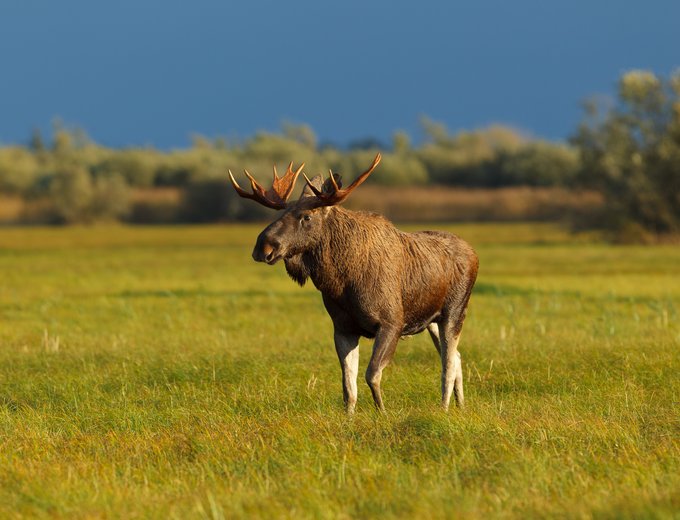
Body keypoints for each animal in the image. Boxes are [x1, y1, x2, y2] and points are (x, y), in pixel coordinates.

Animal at [231, 152, 480, 412]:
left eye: (306, 216)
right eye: (280, 214)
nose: (263, 247)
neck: (341, 281)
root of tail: (473, 253)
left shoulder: (391, 322)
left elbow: (372, 374)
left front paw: (382, 412)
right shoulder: (343, 328)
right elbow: (348, 386)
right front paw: (350, 416)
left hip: (454, 311)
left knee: (448, 363)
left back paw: (444, 407)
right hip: (431, 320)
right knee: (456, 357)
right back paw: (461, 405)